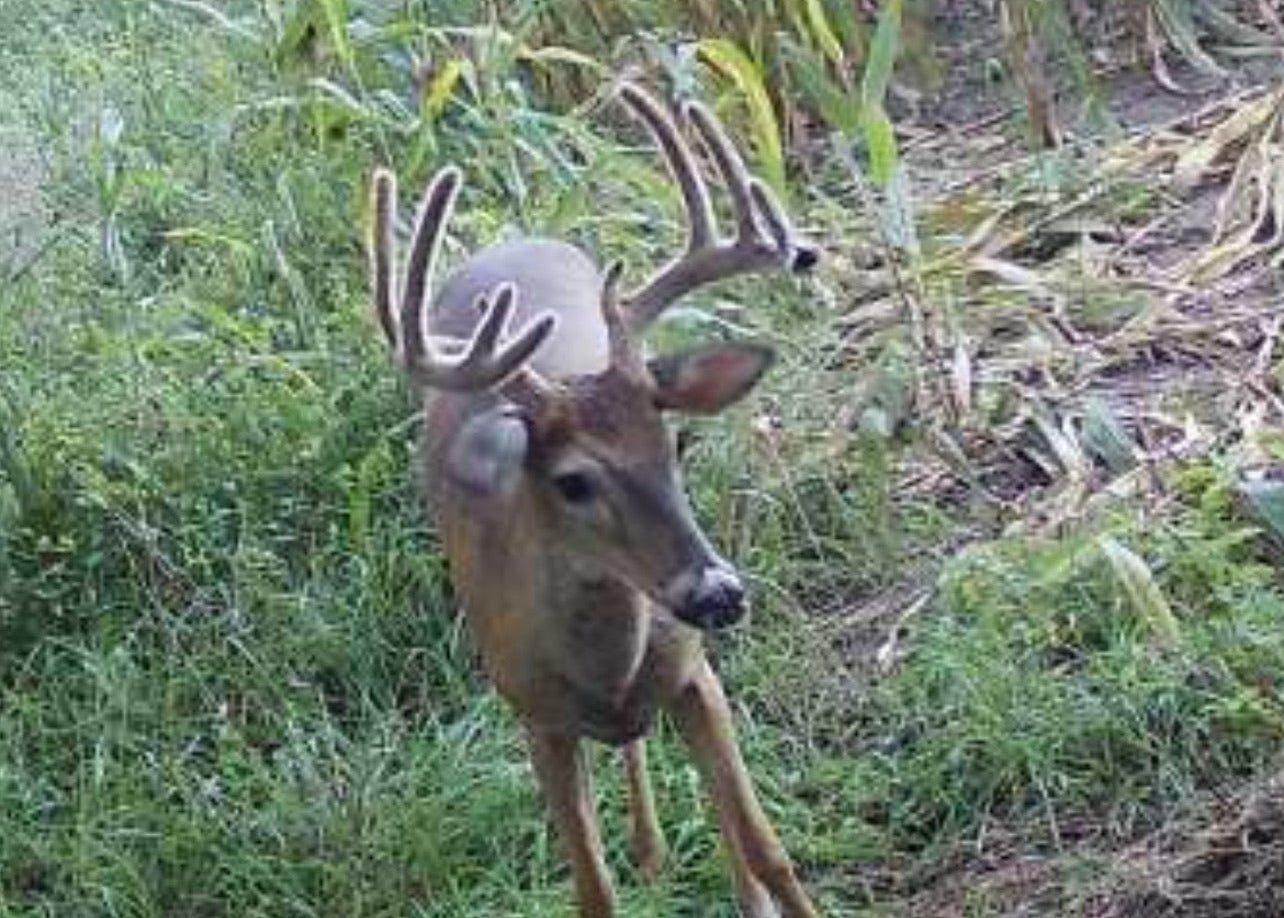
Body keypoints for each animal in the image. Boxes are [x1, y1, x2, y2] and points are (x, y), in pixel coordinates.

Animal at [366, 81, 821, 918]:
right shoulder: (533, 718)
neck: (602, 671)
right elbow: (593, 891)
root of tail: (509, 242)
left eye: (677, 446)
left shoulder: (694, 674)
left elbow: (766, 847)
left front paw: (770, 889)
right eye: (573, 480)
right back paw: (649, 849)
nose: (719, 592)